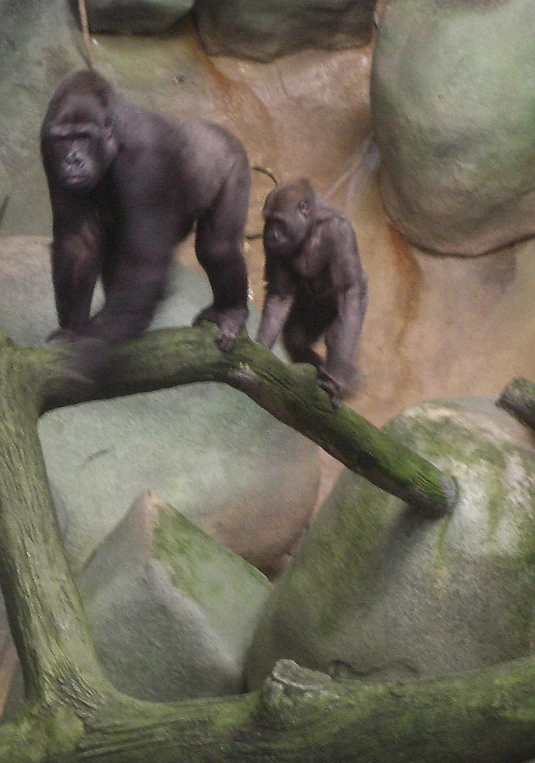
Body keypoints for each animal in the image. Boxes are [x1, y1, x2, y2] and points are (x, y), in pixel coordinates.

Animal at [40, 70, 250, 356]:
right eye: (63, 140)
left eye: (83, 137)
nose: (72, 160)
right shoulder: (47, 146)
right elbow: (78, 242)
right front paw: (71, 332)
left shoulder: (147, 155)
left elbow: (144, 260)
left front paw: (95, 339)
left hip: (234, 160)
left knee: (218, 246)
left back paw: (231, 312)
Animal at [256, 178, 366, 406]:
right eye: (269, 221)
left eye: (279, 222)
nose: (272, 234)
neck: (310, 226)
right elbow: (280, 294)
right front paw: (261, 349)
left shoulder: (341, 231)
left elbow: (349, 291)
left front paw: (336, 377)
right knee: (296, 339)